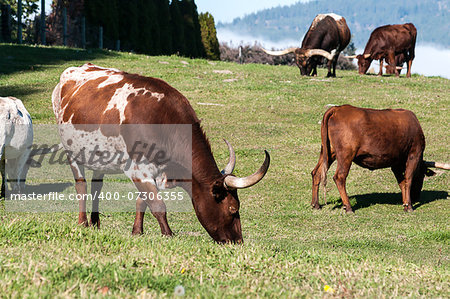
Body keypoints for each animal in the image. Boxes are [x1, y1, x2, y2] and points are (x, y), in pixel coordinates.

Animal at [52, 63, 270, 244]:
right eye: (233, 209)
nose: (238, 242)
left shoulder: (149, 173)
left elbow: (142, 201)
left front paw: (137, 232)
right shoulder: (138, 169)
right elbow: (158, 205)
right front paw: (168, 234)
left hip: (101, 156)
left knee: (97, 187)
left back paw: (96, 223)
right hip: (71, 151)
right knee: (82, 186)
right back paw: (83, 223)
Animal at [312, 105, 450, 213]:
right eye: (421, 175)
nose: (416, 197)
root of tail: (337, 108)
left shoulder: (396, 163)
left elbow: (402, 182)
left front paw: (405, 203)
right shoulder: (413, 154)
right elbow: (408, 179)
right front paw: (409, 205)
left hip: (328, 152)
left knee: (316, 172)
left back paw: (315, 204)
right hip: (345, 154)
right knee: (339, 177)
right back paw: (348, 207)